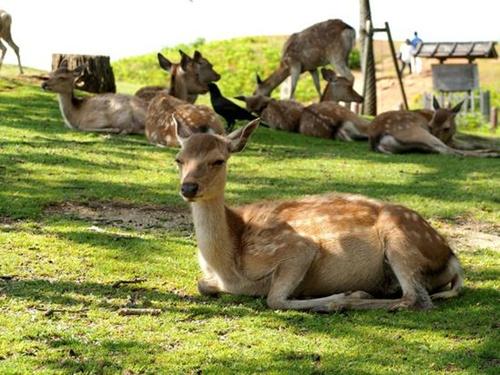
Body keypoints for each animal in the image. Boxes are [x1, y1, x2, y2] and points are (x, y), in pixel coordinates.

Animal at [173, 119, 464, 312]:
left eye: (218, 160)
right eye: (179, 159)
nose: (188, 187)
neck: (228, 268)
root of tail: (452, 258)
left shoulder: (298, 247)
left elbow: (274, 299)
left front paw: (338, 298)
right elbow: (202, 284)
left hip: (401, 241)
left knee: (415, 298)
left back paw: (350, 298)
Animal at [368, 97, 500, 158]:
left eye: (446, 128)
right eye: (430, 126)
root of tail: (377, 141)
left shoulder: (452, 139)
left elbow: (474, 142)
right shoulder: (451, 140)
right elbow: (474, 141)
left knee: (442, 150)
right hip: (416, 132)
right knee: (448, 151)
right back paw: (492, 154)